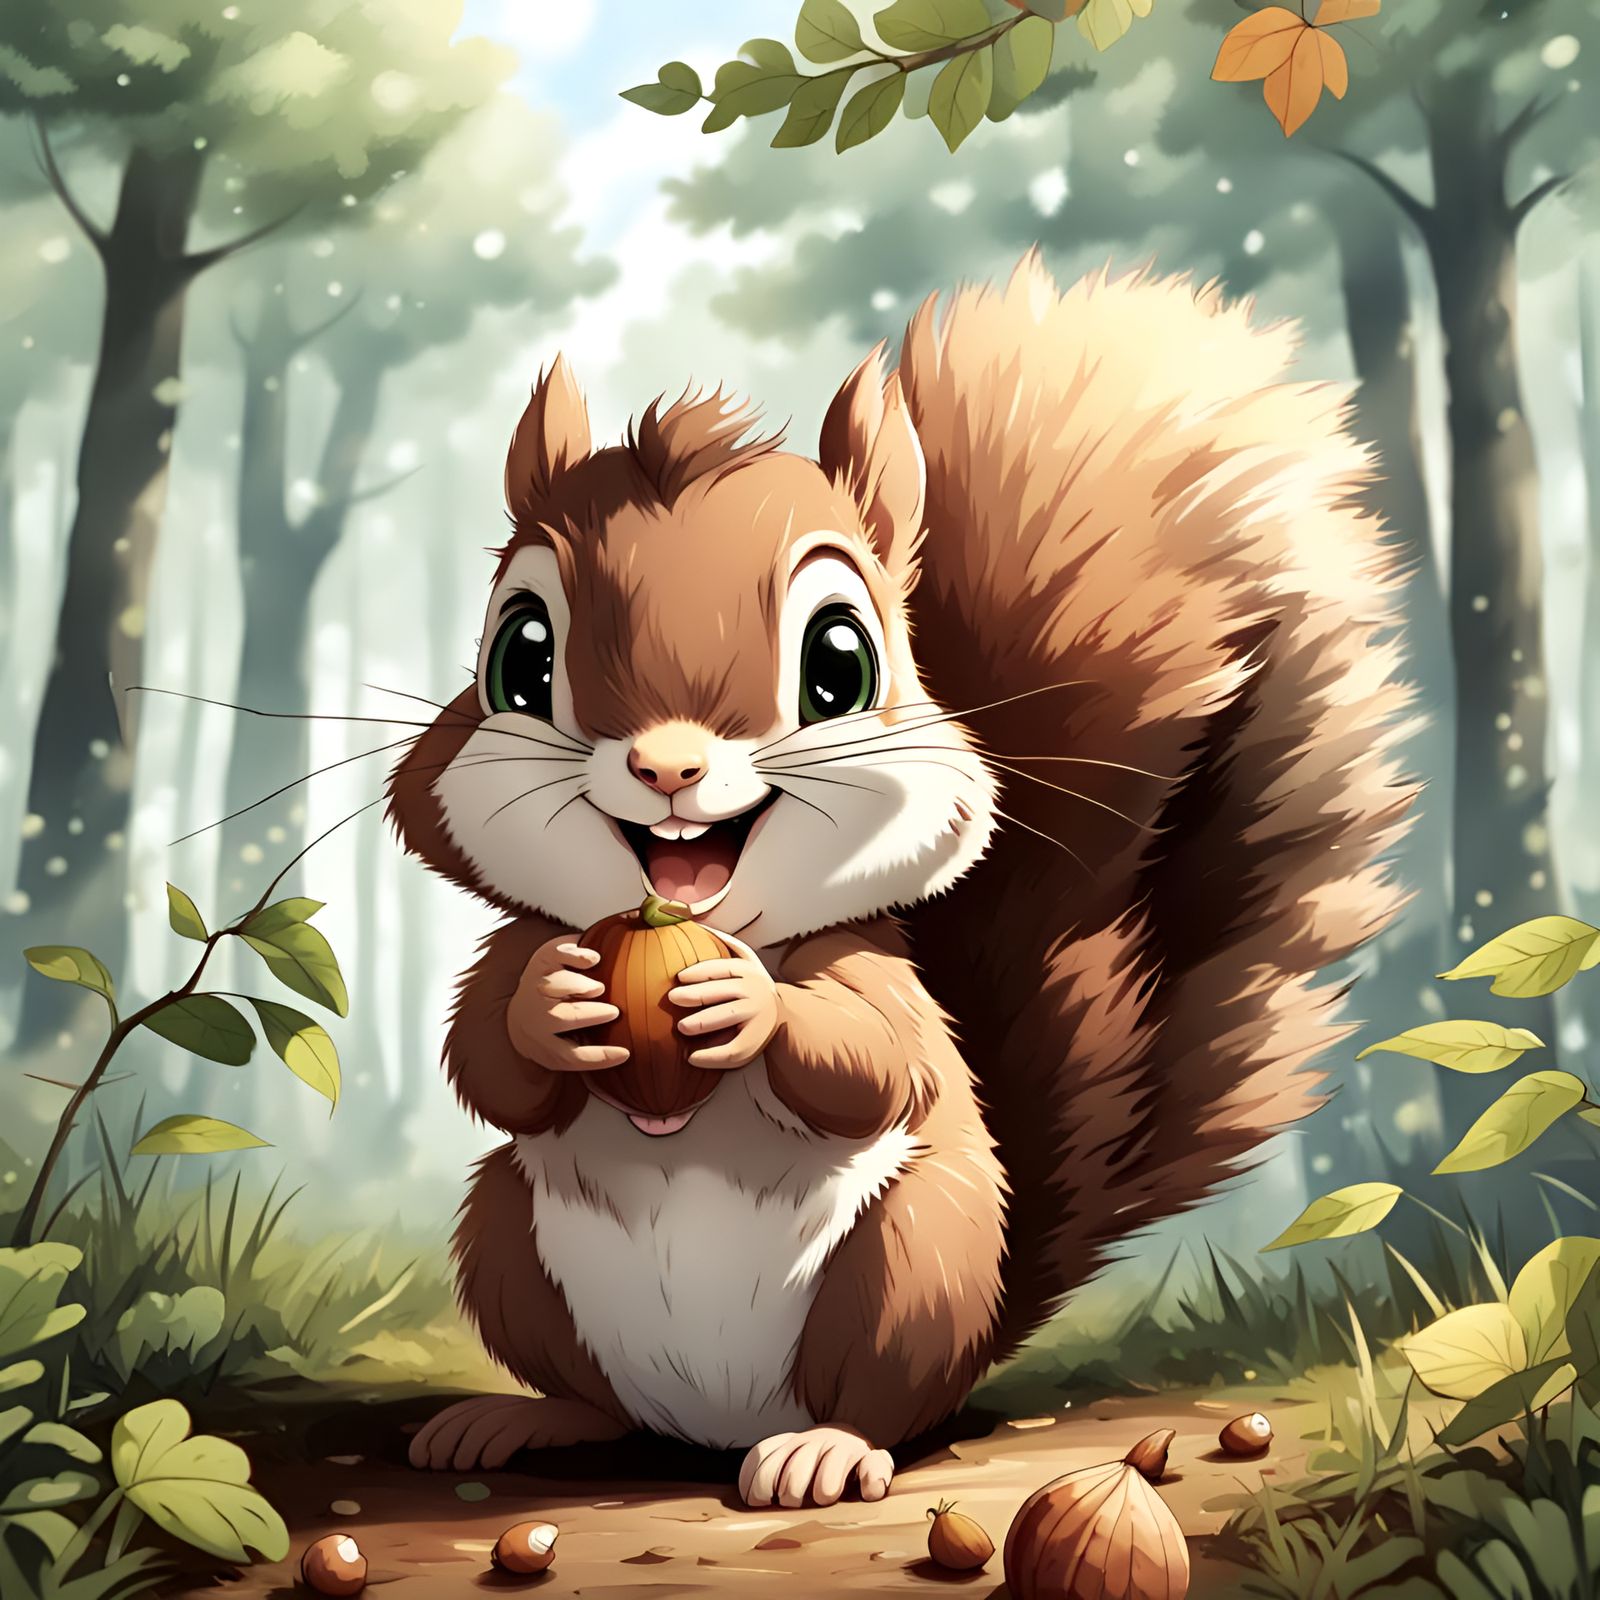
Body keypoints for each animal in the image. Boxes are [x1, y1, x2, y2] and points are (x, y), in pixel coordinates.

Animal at [388, 251, 1416, 1508]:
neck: (696, 917)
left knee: (885, 1401)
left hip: (912, 1261)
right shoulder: (512, 944)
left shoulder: (876, 968)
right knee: (588, 1383)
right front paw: (553, 1003)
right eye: (519, 657)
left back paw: (827, 1450)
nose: (666, 765)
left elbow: (873, 1060)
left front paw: (748, 1002)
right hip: (503, 1236)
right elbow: (487, 1056)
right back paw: (523, 1418)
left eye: (839, 661)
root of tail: (710, 1430)